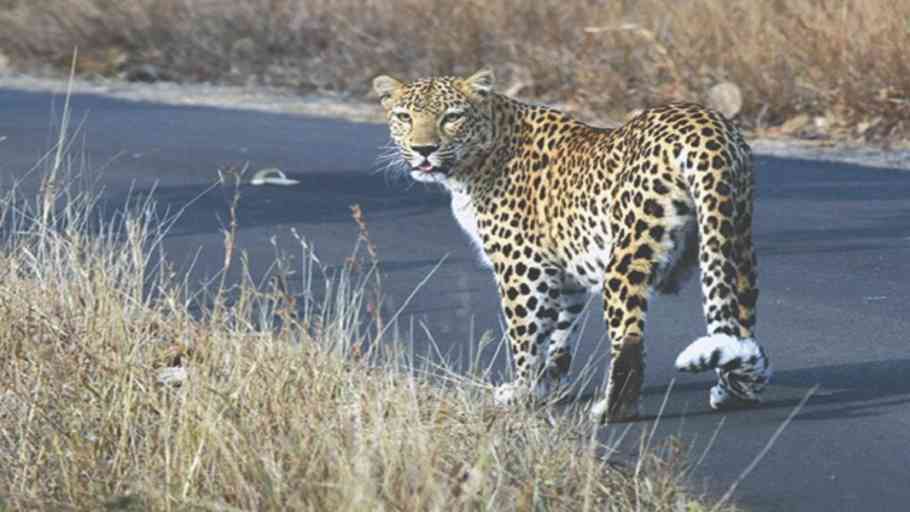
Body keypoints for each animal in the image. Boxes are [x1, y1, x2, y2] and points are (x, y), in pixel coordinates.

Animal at [373, 68, 772, 423]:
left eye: (452, 117)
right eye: (405, 117)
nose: (424, 150)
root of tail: (705, 125)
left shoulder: (523, 267)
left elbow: (525, 334)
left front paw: (522, 391)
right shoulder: (564, 272)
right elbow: (561, 332)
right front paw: (548, 385)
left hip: (626, 258)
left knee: (629, 338)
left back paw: (611, 411)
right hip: (735, 239)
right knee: (739, 325)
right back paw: (737, 390)